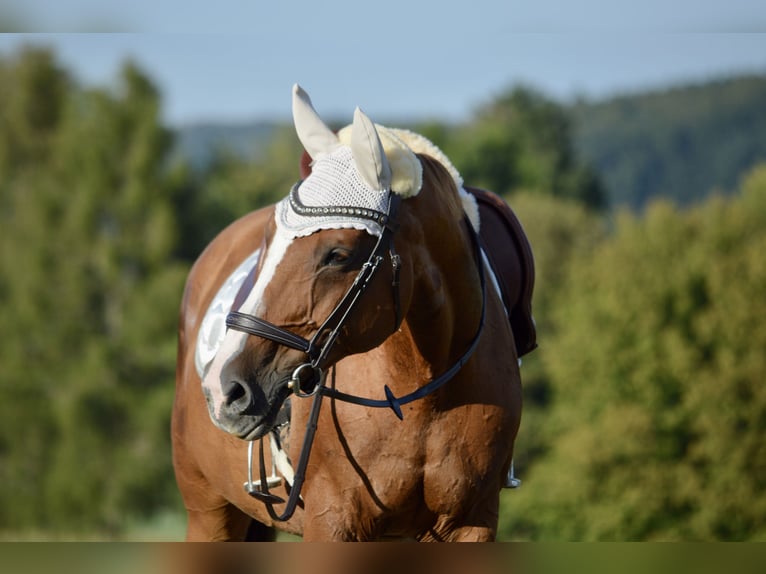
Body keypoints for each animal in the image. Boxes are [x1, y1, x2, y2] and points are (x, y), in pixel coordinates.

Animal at [172, 85, 536, 544]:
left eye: (338, 255)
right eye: (267, 240)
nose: (225, 390)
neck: (422, 392)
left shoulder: (473, 522)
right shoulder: (333, 521)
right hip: (209, 511)